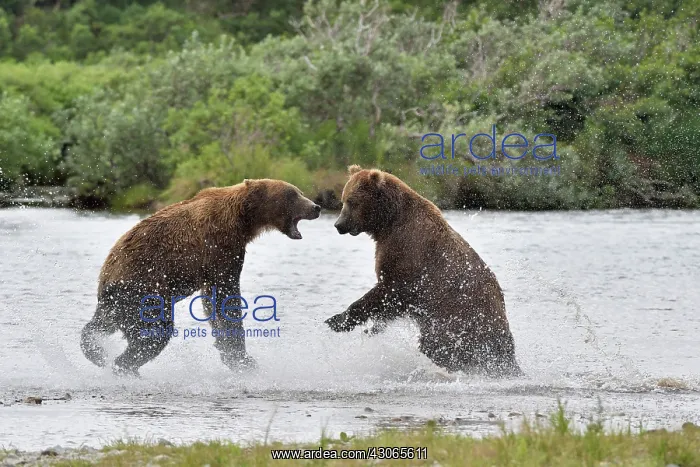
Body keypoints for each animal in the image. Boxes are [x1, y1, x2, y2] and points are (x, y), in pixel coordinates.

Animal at [81, 179, 321, 376]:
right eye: (293, 194)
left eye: (299, 191)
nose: (316, 207)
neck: (243, 220)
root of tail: (106, 278)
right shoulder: (220, 247)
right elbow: (227, 298)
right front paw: (244, 359)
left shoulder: (214, 262)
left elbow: (212, 302)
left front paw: (230, 352)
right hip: (142, 289)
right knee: (156, 330)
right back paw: (125, 365)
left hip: (119, 303)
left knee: (99, 326)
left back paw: (99, 353)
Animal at [325, 166, 521, 377]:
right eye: (343, 199)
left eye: (352, 201)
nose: (338, 225)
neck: (388, 221)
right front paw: (371, 329)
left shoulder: (407, 252)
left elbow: (387, 290)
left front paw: (336, 320)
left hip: (459, 317)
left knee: (440, 346)